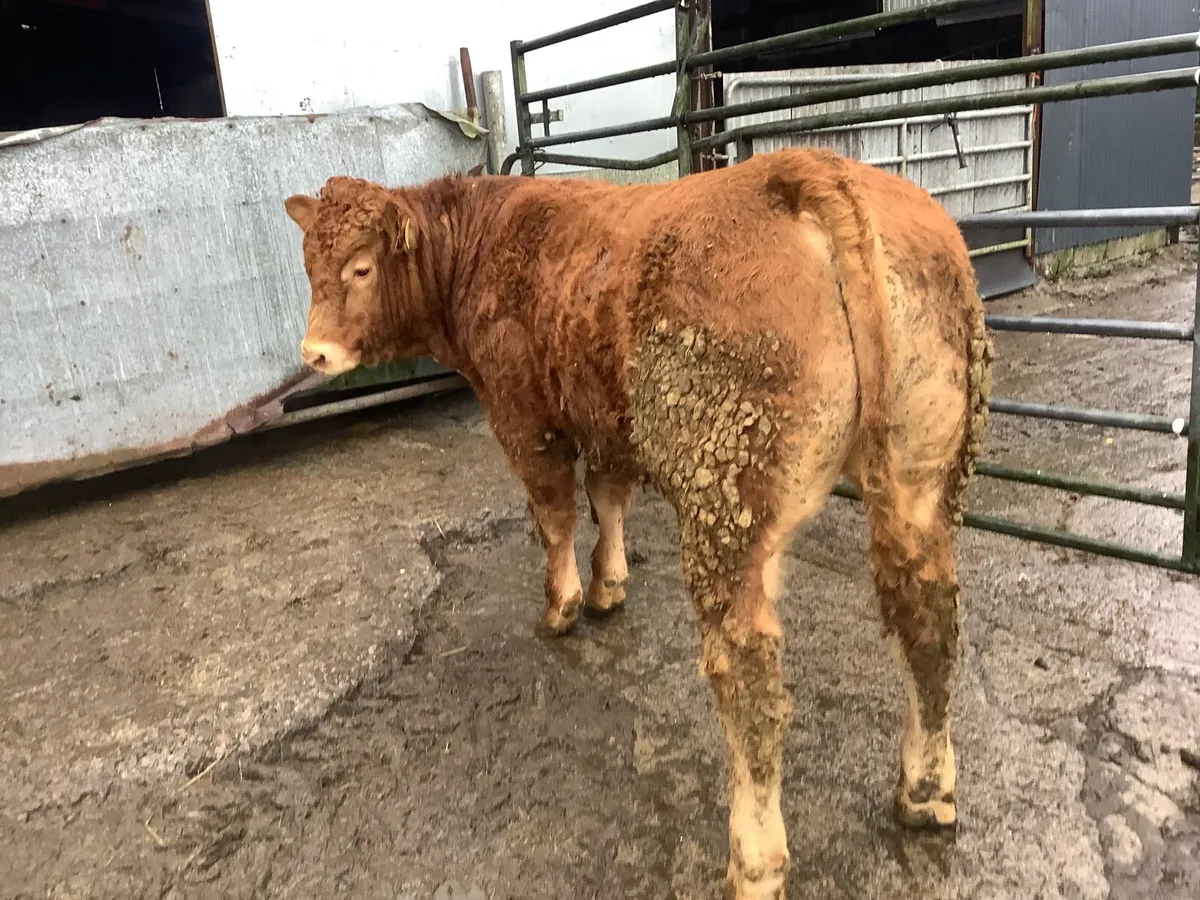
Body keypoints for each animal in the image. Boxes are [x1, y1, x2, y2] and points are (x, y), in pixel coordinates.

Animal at [283, 147, 992, 900]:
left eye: (360, 267)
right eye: (309, 262)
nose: (315, 352)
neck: (482, 239)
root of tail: (808, 167)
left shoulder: (522, 415)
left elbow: (554, 513)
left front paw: (562, 604)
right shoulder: (606, 417)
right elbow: (609, 497)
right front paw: (609, 585)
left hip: (725, 496)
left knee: (748, 671)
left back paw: (755, 860)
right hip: (922, 475)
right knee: (929, 618)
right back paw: (926, 792)